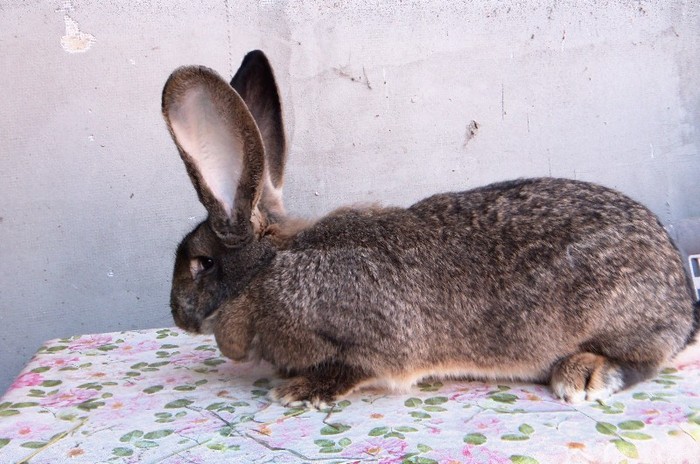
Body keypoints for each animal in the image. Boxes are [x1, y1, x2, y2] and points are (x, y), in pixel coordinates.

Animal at [161, 49, 696, 408]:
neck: (268, 269)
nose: (177, 316)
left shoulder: (373, 344)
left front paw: (300, 391)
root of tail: (681, 296)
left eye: (202, 262)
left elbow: (357, 367)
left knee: (649, 356)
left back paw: (583, 374)